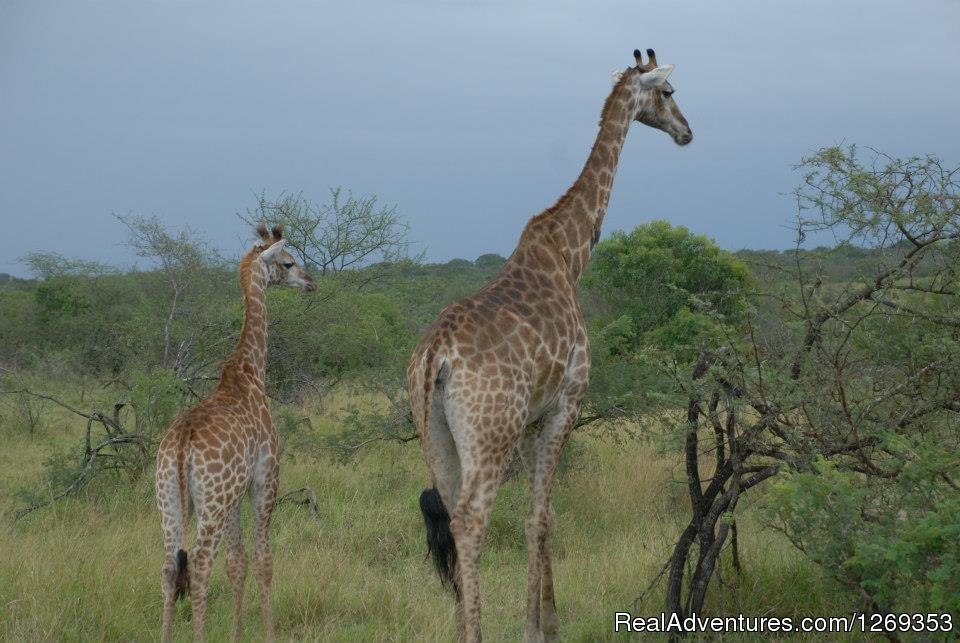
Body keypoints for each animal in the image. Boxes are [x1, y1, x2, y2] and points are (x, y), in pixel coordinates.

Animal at [156, 224, 316, 640]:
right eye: (288, 262)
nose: (310, 282)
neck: (249, 370)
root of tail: (181, 446)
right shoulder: (265, 478)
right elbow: (262, 560)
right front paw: (268, 632)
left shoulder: (234, 493)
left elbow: (236, 562)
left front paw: (238, 631)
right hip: (210, 503)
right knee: (198, 566)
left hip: (170, 500)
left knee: (169, 568)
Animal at [408, 51, 692, 643]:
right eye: (669, 92)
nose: (687, 132)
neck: (569, 254)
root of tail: (434, 358)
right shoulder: (567, 401)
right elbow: (540, 516)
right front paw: (539, 628)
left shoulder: (532, 419)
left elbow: (544, 517)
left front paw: (546, 619)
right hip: (488, 434)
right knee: (470, 521)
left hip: (437, 437)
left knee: (448, 516)